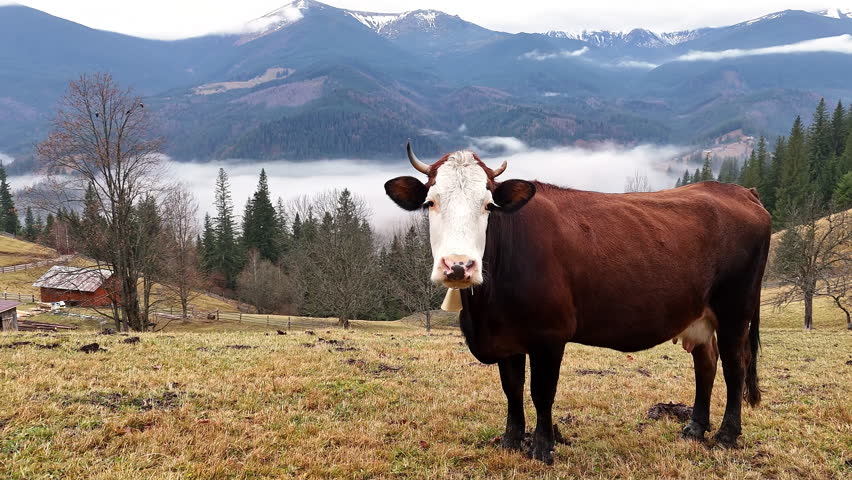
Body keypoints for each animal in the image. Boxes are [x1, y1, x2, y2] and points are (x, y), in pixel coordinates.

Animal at [384, 143, 770, 464]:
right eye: (430, 202)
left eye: (488, 205)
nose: (459, 266)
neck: (486, 314)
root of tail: (739, 190)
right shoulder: (507, 338)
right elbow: (512, 390)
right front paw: (510, 441)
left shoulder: (550, 334)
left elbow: (541, 393)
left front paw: (542, 448)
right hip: (699, 314)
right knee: (706, 363)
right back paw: (694, 428)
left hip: (736, 309)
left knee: (735, 366)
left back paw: (726, 435)